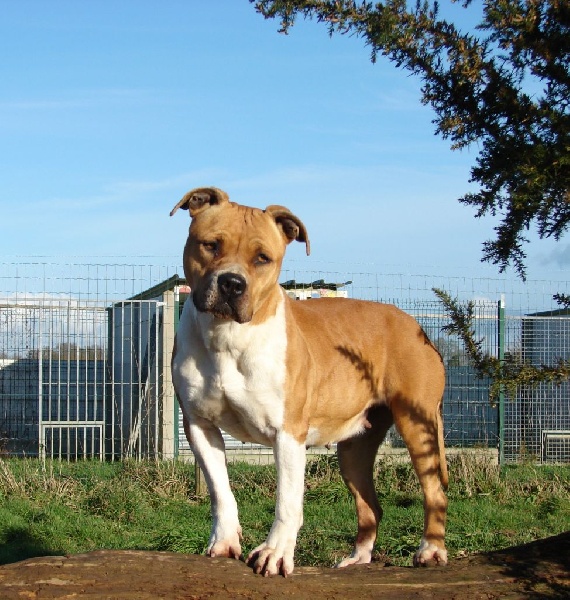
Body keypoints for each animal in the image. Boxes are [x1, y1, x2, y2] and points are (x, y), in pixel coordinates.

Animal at [170, 187, 448, 577]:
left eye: (262, 258)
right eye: (210, 245)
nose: (231, 283)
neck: (227, 337)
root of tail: (414, 323)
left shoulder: (287, 433)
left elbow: (287, 502)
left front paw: (274, 553)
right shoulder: (200, 426)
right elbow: (220, 491)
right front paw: (224, 542)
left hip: (418, 424)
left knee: (434, 491)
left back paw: (431, 551)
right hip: (354, 450)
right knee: (371, 505)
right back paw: (357, 559)